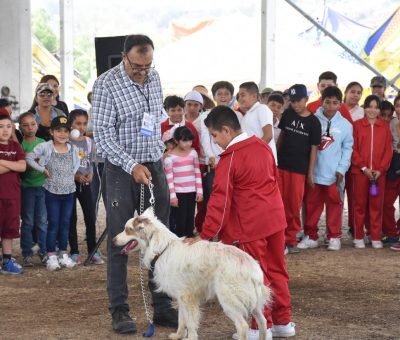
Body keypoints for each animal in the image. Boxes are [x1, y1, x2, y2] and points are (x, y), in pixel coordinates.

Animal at [113, 207, 272, 340]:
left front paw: (190, 337)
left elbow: (190, 323)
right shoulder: (181, 296)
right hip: (255, 303)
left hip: (228, 301)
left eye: (127, 230)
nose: (113, 240)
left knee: (243, 326)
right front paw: (178, 335)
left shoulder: (187, 298)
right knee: (263, 322)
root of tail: (252, 267)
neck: (162, 249)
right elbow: (181, 319)